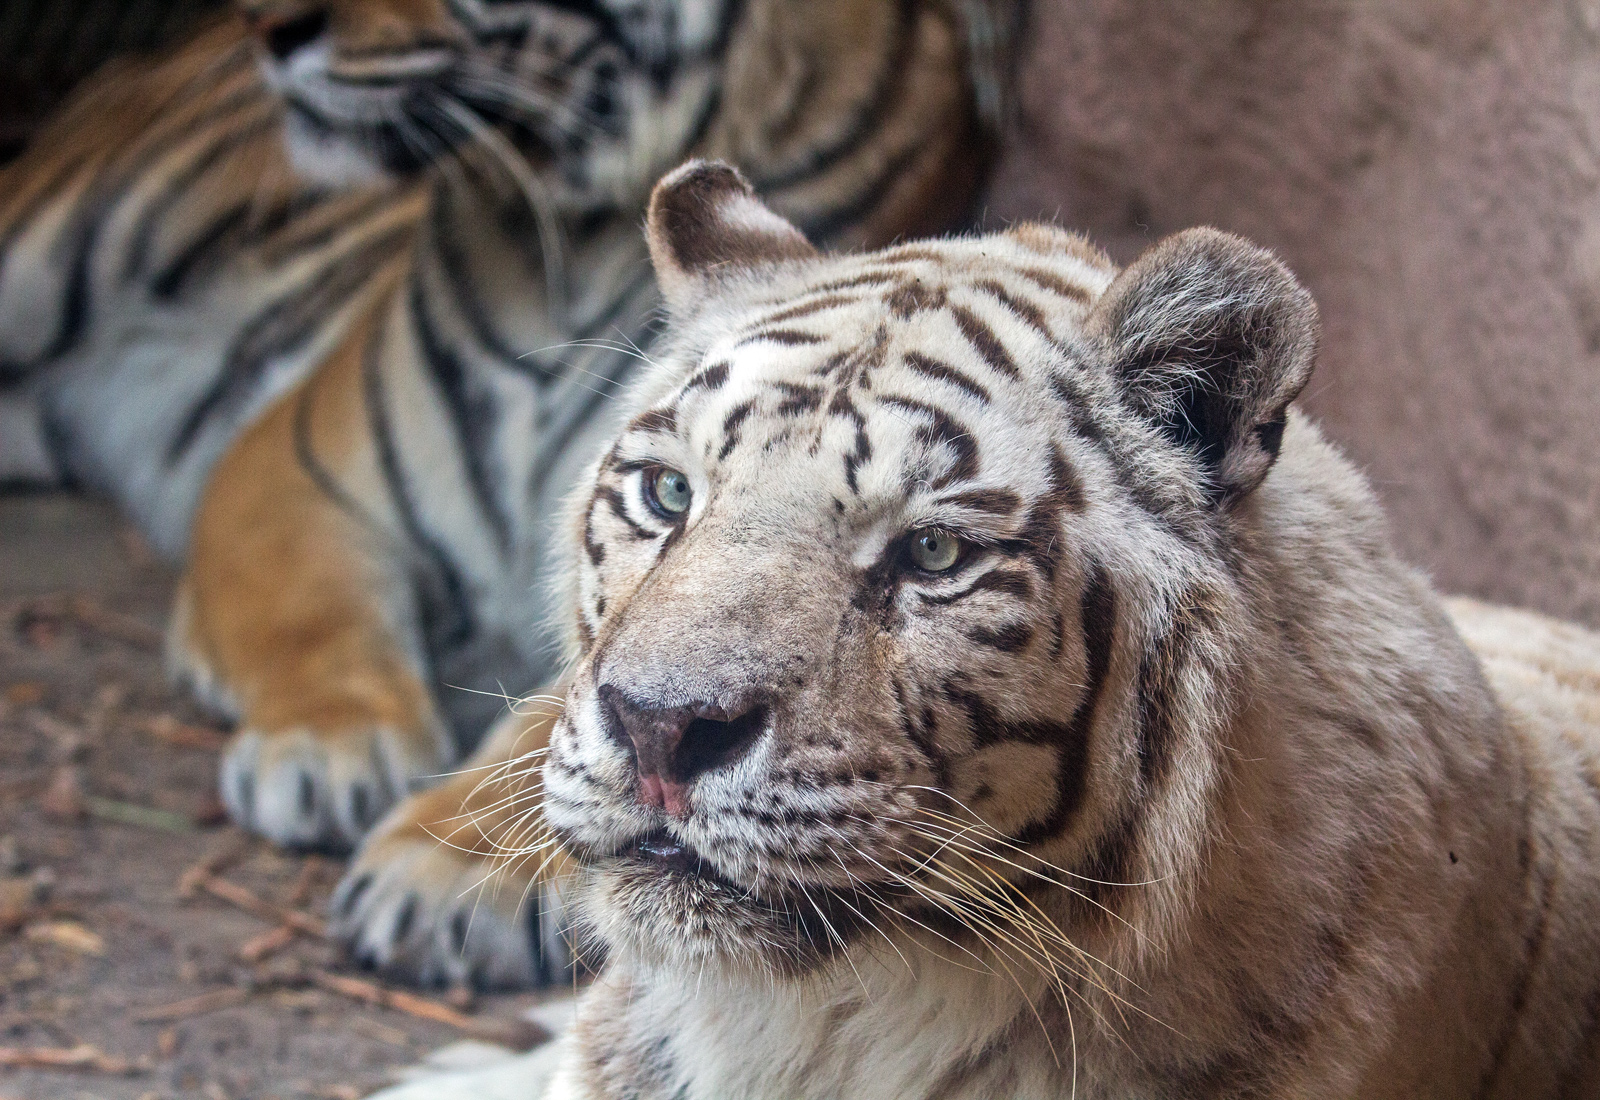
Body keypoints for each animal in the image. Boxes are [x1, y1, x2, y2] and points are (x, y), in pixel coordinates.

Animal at [0, 0, 1014, 986]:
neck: (554, 252)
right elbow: (311, 610)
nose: (266, 25)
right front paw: (330, 748)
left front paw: (448, 869)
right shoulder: (297, 462)